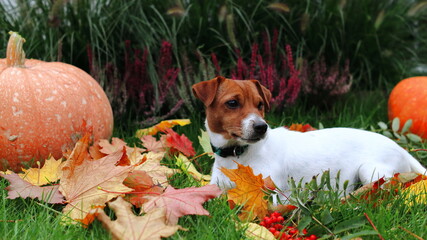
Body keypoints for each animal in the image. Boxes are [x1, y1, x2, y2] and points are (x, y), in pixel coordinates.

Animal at [194, 76, 427, 199]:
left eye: (260, 104)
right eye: (232, 103)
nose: (262, 127)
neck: (237, 155)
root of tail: (402, 149)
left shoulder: (274, 192)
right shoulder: (216, 186)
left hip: (371, 170)